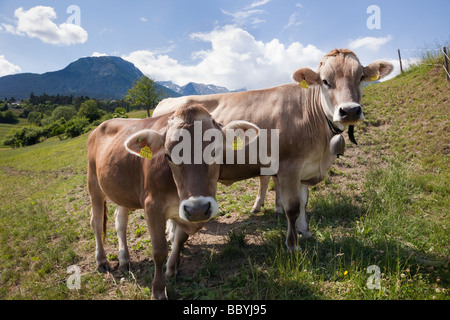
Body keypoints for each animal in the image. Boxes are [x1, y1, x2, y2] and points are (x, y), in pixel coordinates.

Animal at [86, 104, 258, 298]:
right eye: (169, 156)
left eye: (216, 151)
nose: (199, 208)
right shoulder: (152, 206)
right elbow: (159, 250)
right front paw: (158, 290)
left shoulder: (183, 209)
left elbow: (180, 237)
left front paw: (171, 267)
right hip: (93, 181)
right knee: (96, 221)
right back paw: (101, 260)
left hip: (121, 191)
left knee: (120, 221)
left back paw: (124, 259)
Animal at [153, 48, 392, 252]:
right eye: (325, 81)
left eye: (361, 77)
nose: (349, 110)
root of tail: (166, 102)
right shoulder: (289, 167)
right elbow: (292, 207)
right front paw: (292, 245)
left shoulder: (305, 169)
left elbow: (304, 203)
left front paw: (306, 232)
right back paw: (172, 235)